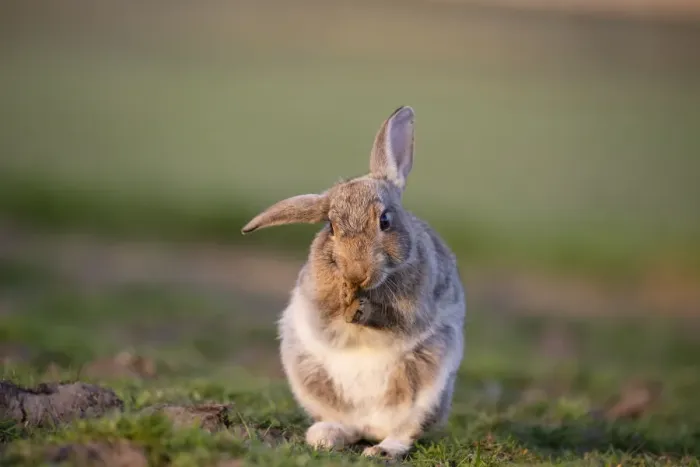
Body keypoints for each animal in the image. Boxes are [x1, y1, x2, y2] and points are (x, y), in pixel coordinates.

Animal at [240, 106, 466, 459]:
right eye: (332, 227)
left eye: (385, 220)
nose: (357, 272)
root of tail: (371, 426)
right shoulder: (317, 302)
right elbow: (330, 317)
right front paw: (349, 306)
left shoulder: (416, 307)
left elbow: (395, 319)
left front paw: (362, 310)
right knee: (346, 426)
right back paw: (324, 437)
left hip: (426, 387)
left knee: (404, 431)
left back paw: (381, 451)